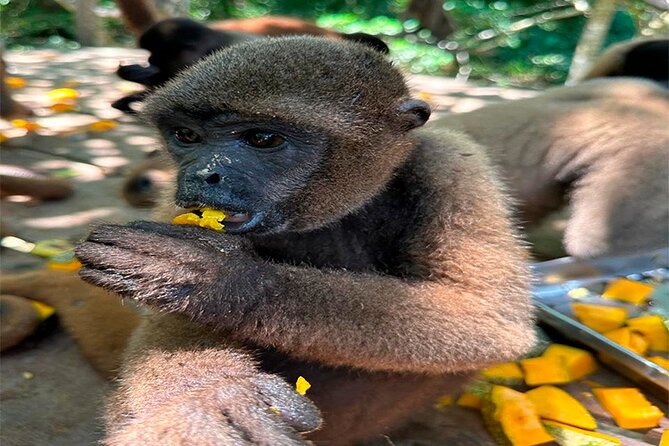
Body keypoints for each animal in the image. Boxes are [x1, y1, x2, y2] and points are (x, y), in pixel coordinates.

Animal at [75, 37, 536, 445]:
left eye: (263, 139)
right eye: (186, 136)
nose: (202, 174)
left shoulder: (450, 165)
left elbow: (491, 318)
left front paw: (216, 278)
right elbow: (166, 326)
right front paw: (203, 402)